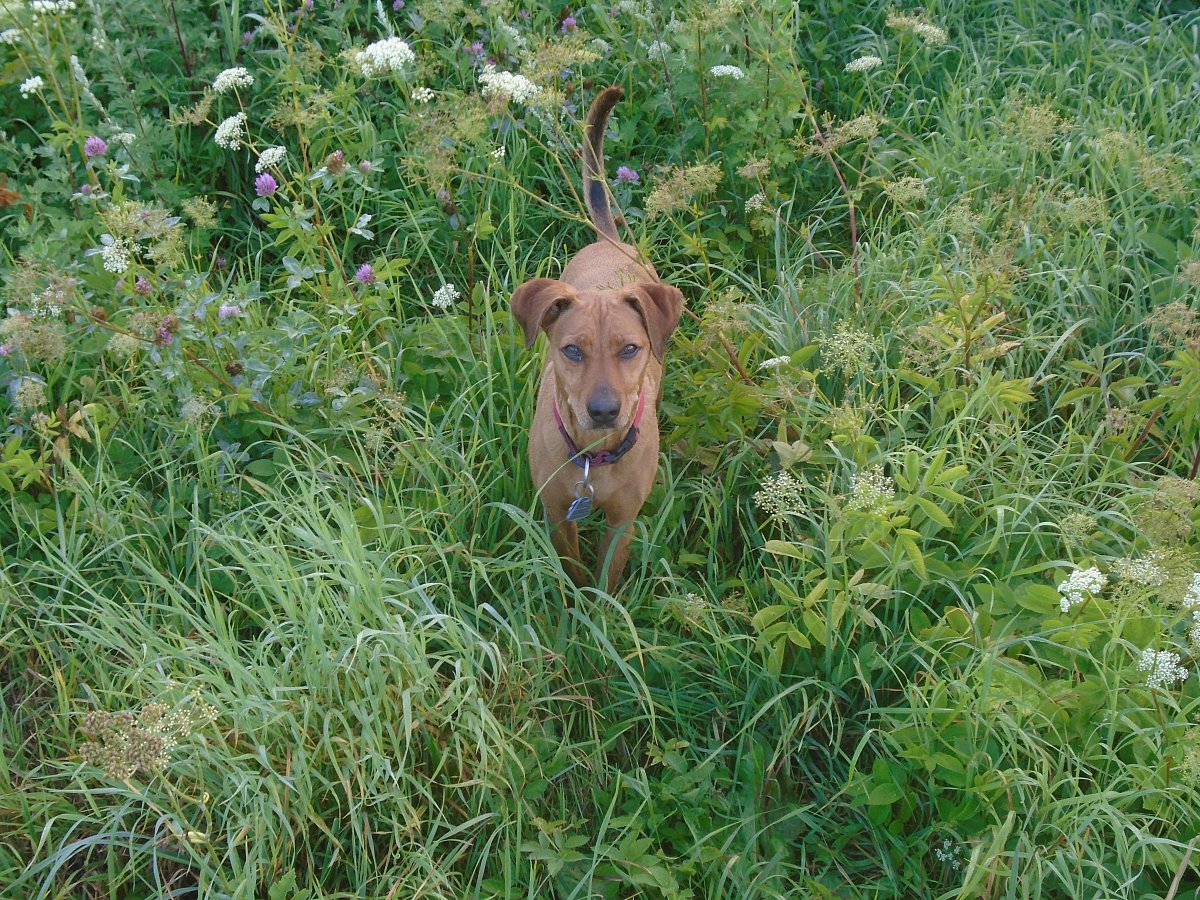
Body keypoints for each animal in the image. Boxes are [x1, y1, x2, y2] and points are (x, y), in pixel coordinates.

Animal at [508, 88, 686, 595]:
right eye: (572, 350)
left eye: (630, 349)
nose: (604, 411)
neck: (595, 458)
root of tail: (610, 240)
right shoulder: (557, 514)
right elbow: (572, 572)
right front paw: (573, 607)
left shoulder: (621, 522)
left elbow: (607, 582)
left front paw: (600, 611)